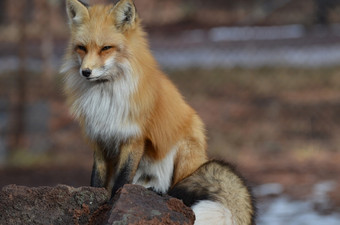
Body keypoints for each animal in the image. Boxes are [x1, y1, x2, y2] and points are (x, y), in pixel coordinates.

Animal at [61, 0, 255, 224]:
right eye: (81, 48)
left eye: (106, 48)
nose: (86, 72)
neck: (105, 97)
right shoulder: (100, 139)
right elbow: (97, 181)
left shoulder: (134, 138)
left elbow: (121, 181)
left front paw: (115, 202)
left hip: (182, 150)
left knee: (172, 190)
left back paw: (160, 193)